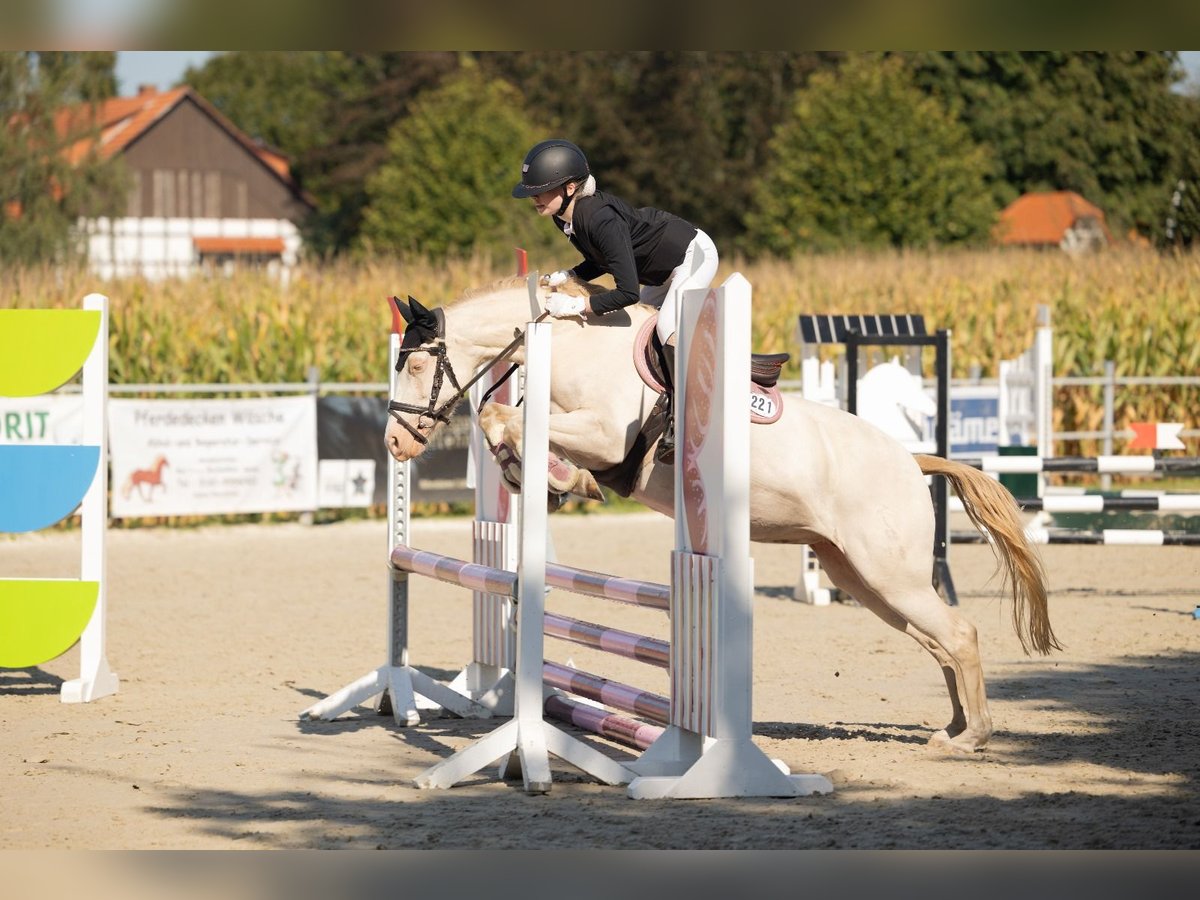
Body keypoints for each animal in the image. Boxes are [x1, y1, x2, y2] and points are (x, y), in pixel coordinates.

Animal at [386, 274, 1060, 753]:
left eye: (416, 365)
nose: (394, 444)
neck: (572, 343)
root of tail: (912, 458)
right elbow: (505, 419)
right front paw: (544, 478)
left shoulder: (603, 433)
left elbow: (505, 418)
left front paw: (554, 477)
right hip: (861, 577)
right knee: (940, 641)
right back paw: (953, 729)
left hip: (889, 573)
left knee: (959, 634)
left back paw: (972, 737)